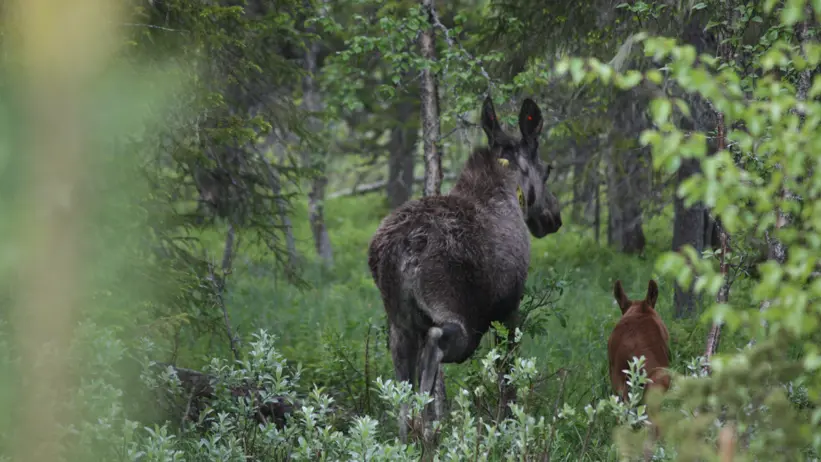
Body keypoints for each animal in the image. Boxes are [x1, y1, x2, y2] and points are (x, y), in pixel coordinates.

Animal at [367, 96, 563, 442]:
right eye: (547, 170)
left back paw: (409, 438)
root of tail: (398, 250)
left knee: (401, 390)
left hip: (399, 325)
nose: (554, 217)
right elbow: (507, 377)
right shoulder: (509, 307)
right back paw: (430, 433)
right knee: (434, 348)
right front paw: (509, 428)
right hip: (458, 319)